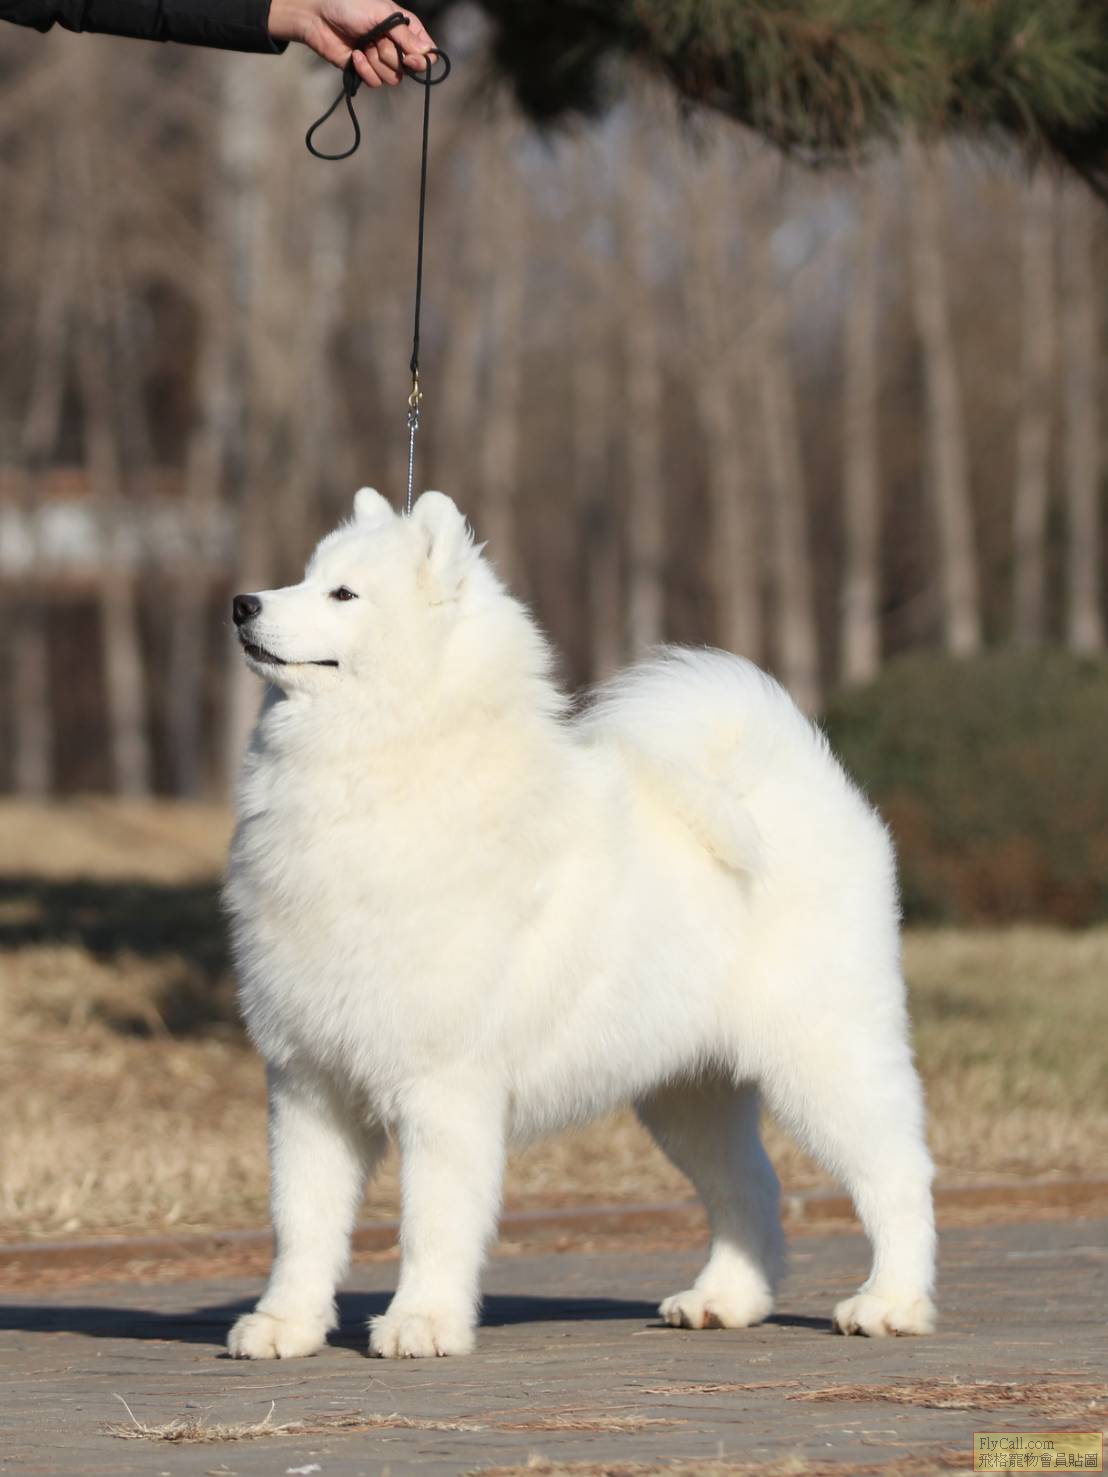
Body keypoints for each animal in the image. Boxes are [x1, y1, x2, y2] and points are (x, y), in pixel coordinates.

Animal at [223, 487, 936, 1360]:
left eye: (342, 594)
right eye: (303, 576)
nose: (243, 603)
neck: (380, 765)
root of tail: (795, 784)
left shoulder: (445, 1087)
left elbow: (431, 1221)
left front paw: (422, 1320)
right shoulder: (308, 1082)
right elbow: (302, 1222)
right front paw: (285, 1323)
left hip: (824, 1057)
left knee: (897, 1174)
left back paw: (890, 1302)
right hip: (689, 1090)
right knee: (750, 1185)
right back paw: (723, 1298)